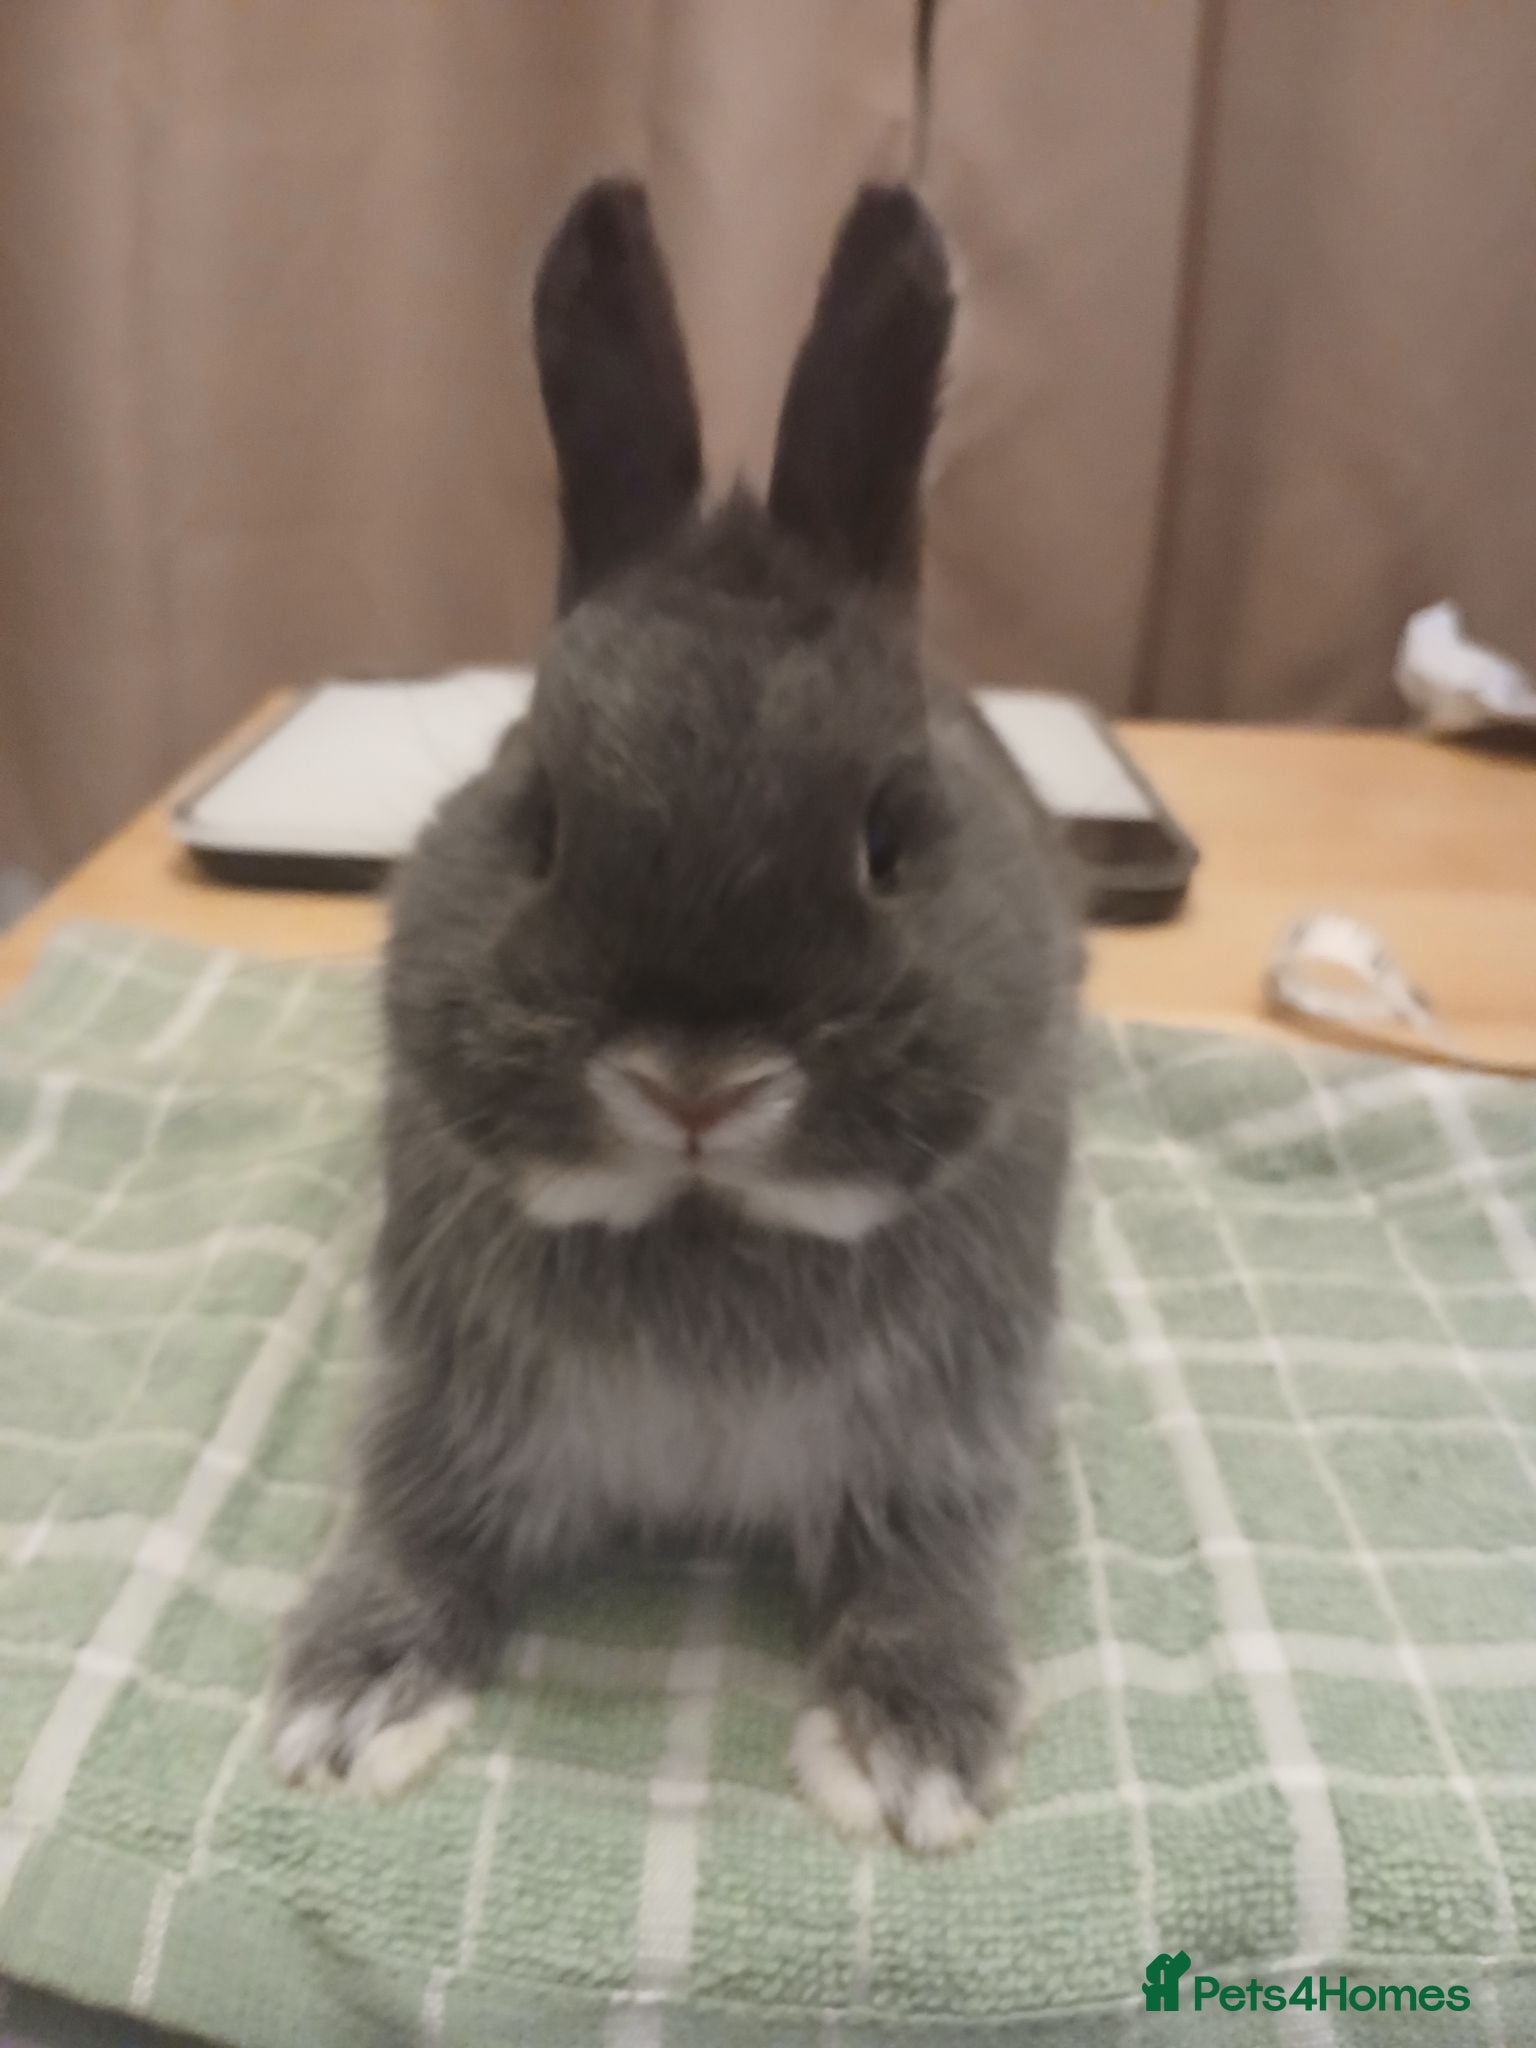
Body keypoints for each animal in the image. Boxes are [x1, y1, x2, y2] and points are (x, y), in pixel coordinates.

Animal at [268, 176, 1081, 1852]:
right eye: (538, 819)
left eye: (891, 835)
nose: (696, 1086)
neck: (708, 1230)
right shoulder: (449, 1407)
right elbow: (414, 1522)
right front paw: (351, 1699)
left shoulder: (946, 1442)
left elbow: (927, 1569)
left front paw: (913, 1754)